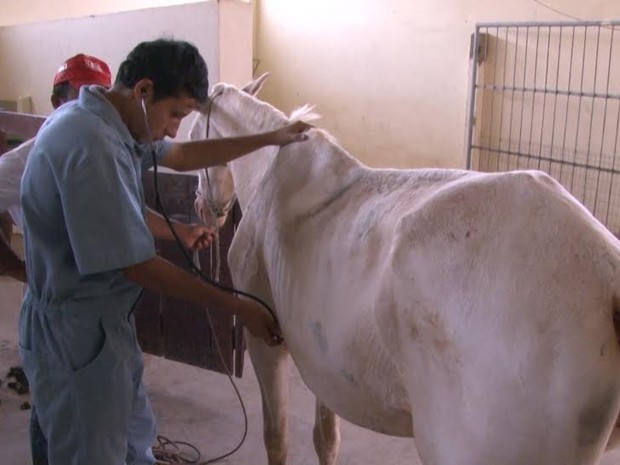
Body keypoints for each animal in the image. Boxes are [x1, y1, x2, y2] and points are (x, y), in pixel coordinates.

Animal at [189, 74, 620, 462]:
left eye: (192, 132)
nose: (203, 210)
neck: (271, 174)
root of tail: (608, 274)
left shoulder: (265, 341)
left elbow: (276, 438)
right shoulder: (323, 365)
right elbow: (326, 439)